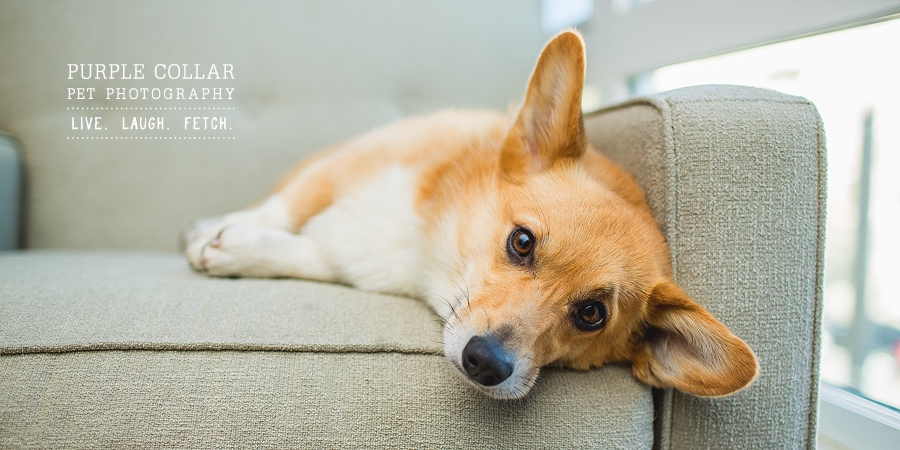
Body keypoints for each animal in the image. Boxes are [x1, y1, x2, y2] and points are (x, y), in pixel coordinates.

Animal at [183, 30, 758, 400]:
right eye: (522, 242)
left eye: (592, 314)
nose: (485, 364)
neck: (424, 241)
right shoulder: (345, 165)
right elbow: (281, 209)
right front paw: (220, 235)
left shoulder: (349, 259)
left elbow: (305, 253)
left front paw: (240, 250)